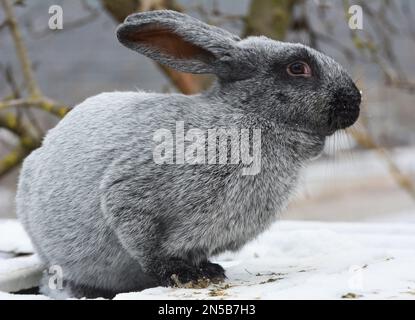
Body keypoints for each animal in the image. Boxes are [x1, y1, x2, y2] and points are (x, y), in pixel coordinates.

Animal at [15, 10, 360, 300]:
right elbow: (145, 243)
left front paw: (209, 271)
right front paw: (181, 275)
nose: (355, 102)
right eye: (297, 68)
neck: (249, 117)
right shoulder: (130, 193)